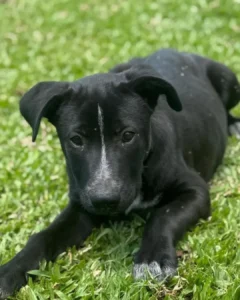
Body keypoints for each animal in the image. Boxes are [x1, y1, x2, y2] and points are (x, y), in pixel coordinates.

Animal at [0, 49, 240, 298]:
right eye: (76, 140)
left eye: (128, 135)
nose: (104, 200)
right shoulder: (81, 204)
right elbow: (44, 236)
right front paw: (10, 270)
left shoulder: (195, 190)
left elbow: (163, 215)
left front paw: (152, 259)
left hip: (229, 80)